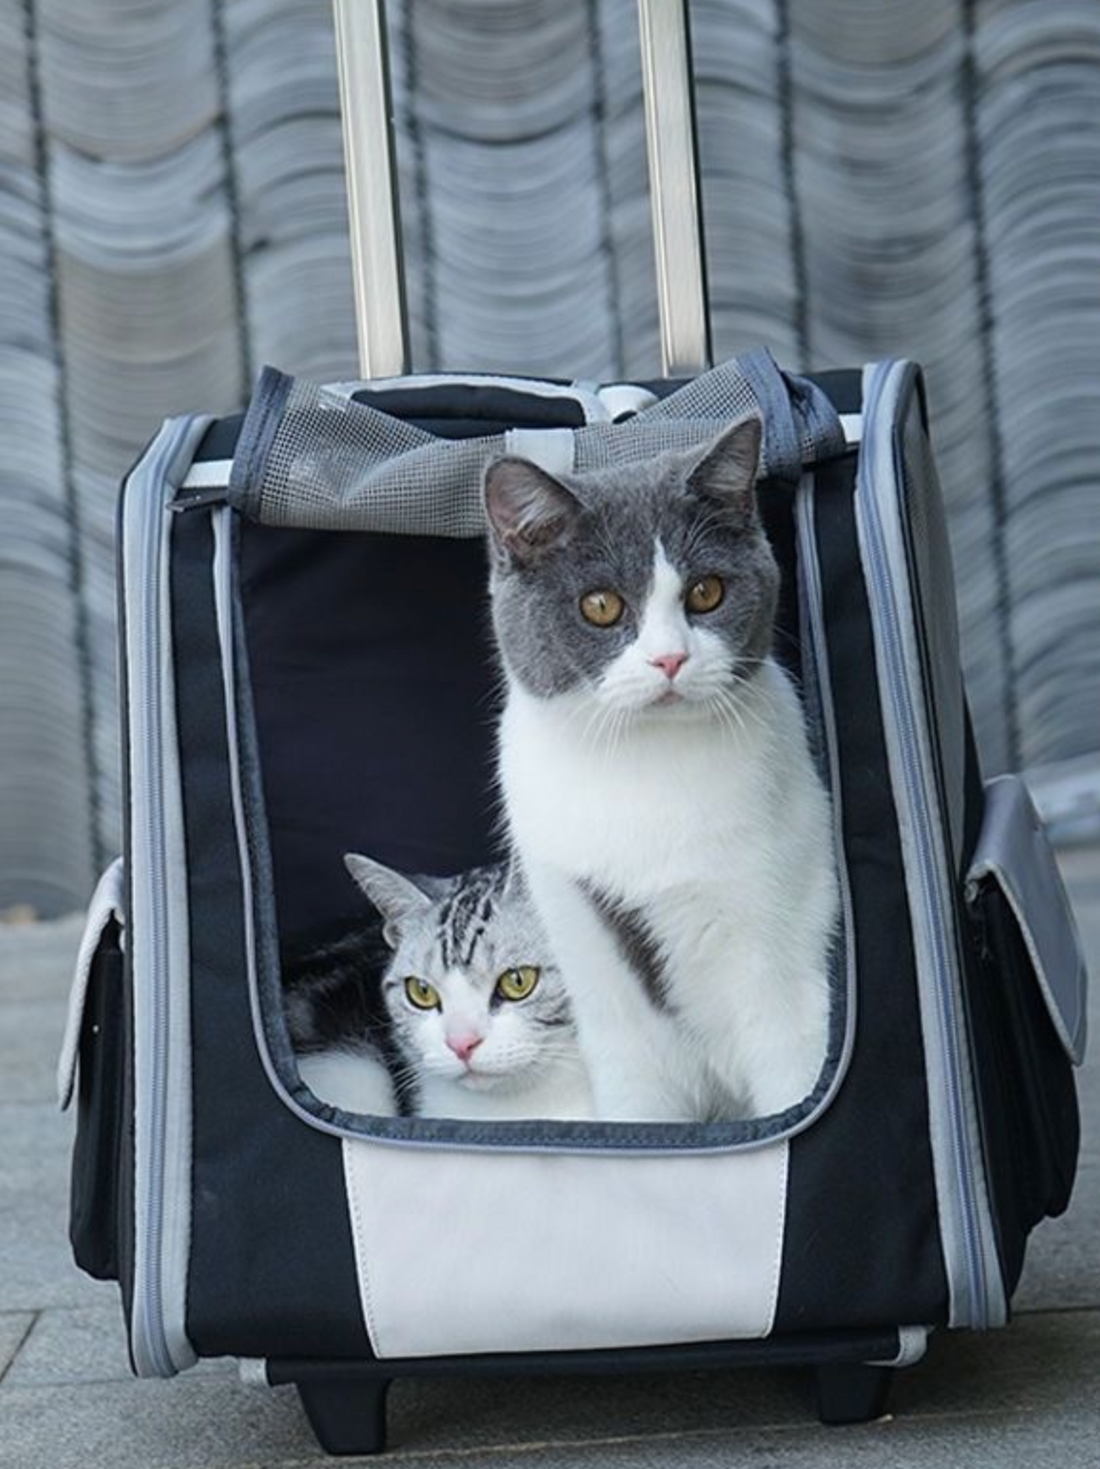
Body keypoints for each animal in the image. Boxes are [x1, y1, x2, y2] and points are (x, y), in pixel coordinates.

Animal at [484, 414, 834, 1122]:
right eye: (600, 606)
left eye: (706, 592)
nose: (670, 659)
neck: (640, 762)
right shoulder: (589, 950)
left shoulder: (777, 949)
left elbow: (790, 1071)